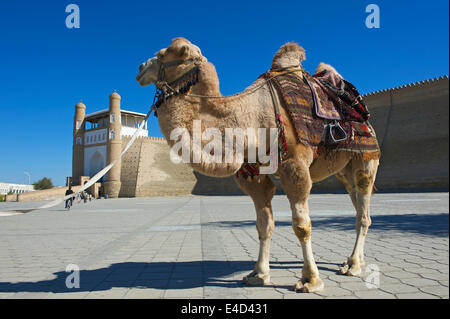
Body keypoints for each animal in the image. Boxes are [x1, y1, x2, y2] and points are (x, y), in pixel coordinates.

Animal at [136, 37, 380, 292]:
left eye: (163, 54)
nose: (140, 68)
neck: (251, 120)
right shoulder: (254, 176)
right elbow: (264, 225)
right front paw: (258, 274)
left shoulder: (295, 166)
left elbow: (302, 226)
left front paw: (310, 280)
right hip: (344, 170)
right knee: (359, 206)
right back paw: (354, 261)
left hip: (366, 160)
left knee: (363, 207)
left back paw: (353, 266)